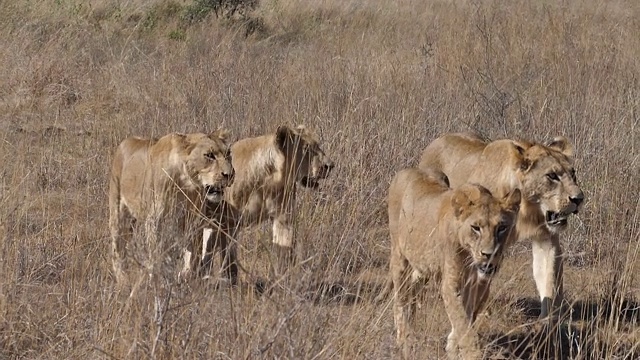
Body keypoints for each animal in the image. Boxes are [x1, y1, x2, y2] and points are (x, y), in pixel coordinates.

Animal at [109, 129, 235, 284]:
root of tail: (125, 142)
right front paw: (158, 281)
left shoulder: (193, 221)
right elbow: (157, 254)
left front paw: (190, 278)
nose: (229, 175)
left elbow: (194, 254)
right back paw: (123, 279)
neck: (186, 184)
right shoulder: (155, 221)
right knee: (117, 249)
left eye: (228, 153)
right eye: (209, 155)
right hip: (118, 214)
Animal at [202, 125, 336, 280]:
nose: (330, 165)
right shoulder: (228, 222)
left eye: (318, 145)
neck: (268, 181)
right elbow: (229, 260)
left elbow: (283, 251)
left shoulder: (283, 217)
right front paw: (230, 281)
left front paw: (281, 281)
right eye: (306, 149)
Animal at [384, 167, 520, 358]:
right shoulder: (451, 283)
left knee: (414, 288)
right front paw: (471, 353)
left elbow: (467, 316)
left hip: (422, 264)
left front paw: (452, 346)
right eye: (476, 228)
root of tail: (408, 169)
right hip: (399, 254)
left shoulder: (477, 285)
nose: (489, 254)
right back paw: (404, 338)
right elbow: (462, 321)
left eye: (502, 228)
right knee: (400, 298)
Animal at [420, 134, 584, 320]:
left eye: (573, 174)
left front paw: (549, 320)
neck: (527, 210)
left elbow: (549, 279)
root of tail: (438, 139)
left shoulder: (546, 238)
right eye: (552, 176)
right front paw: (479, 313)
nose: (579, 199)